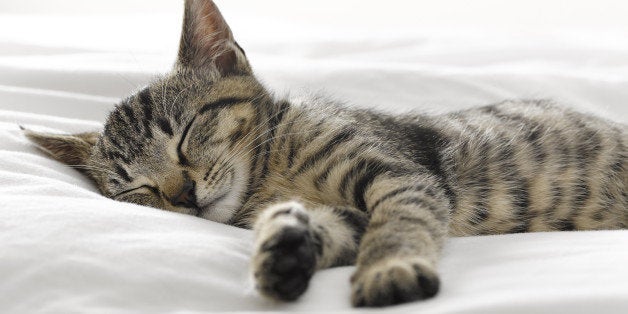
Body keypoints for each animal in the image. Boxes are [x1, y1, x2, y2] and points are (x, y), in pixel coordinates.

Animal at [23, 0, 624, 308]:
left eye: (186, 132)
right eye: (137, 190)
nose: (184, 195)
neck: (270, 178)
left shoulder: (402, 175)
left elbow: (398, 223)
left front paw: (390, 268)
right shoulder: (349, 206)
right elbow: (336, 226)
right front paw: (285, 251)